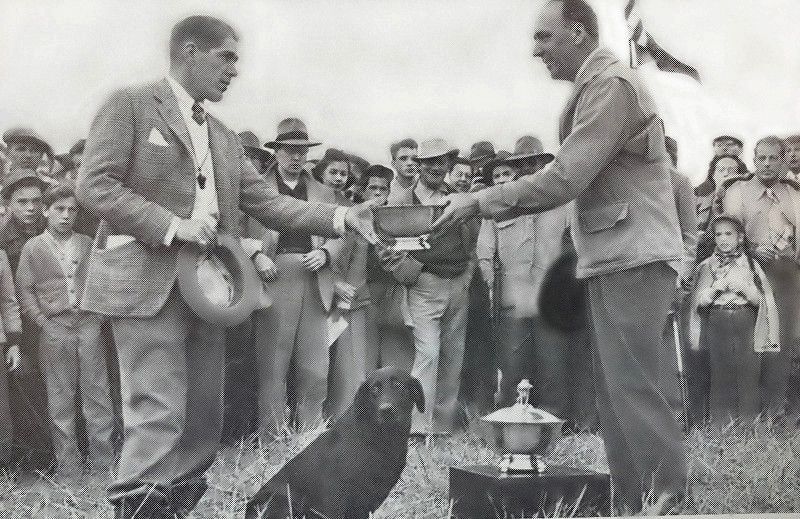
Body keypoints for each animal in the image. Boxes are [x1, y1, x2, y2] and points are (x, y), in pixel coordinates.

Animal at [245, 368, 424, 516]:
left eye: (398, 385)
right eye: (374, 389)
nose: (386, 410)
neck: (381, 439)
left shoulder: (365, 504)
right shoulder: (333, 501)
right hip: (281, 502)